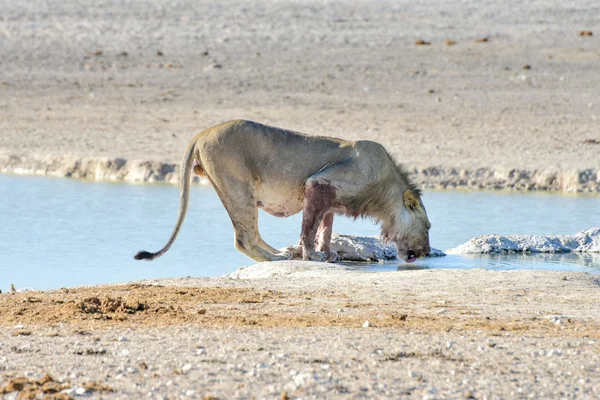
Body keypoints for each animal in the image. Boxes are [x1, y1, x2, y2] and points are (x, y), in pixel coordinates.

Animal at [135, 119, 432, 262]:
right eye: (428, 227)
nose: (427, 253)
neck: (385, 190)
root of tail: (201, 133)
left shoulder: (330, 200)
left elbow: (325, 229)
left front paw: (328, 254)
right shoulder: (318, 182)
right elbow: (309, 228)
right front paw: (312, 256)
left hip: (242, 194)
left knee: (253, 232)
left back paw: (279, 252)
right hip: (238, 188)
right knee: (243, 238)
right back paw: (273, 258)